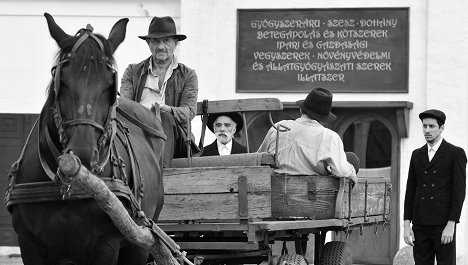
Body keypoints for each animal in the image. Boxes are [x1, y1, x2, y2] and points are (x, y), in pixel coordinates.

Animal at [5, 13, 167, 264]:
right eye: (61, 81)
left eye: (111, 85)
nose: (81, 152)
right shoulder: (29, 244)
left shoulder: (106, 245)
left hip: (140, 243)